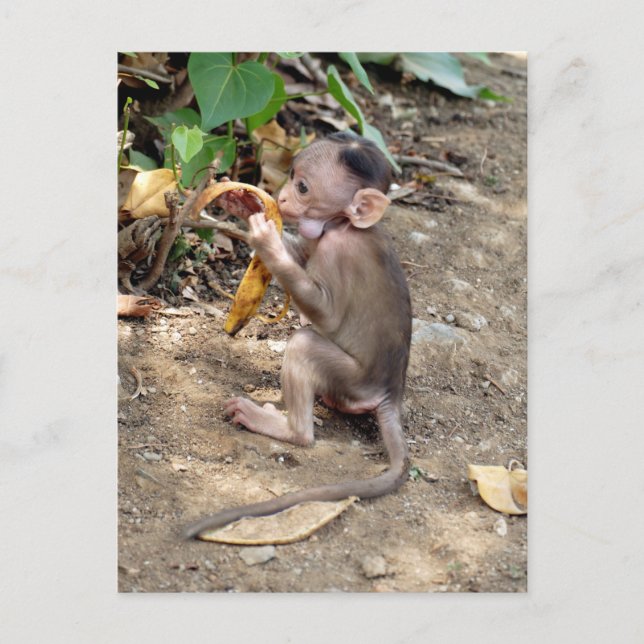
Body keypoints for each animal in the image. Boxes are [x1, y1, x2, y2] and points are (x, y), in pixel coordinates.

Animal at [184, 132, 412, 539]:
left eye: (303, 187)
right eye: (291, 177)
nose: (284, 197)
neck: (344, 225)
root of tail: (390, 393)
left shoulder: (338, 250)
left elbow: (326, 313)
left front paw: (266, 241)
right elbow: (302, 254)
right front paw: (242, 202)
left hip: (354, 382)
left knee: (305, 345)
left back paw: (287, 429)